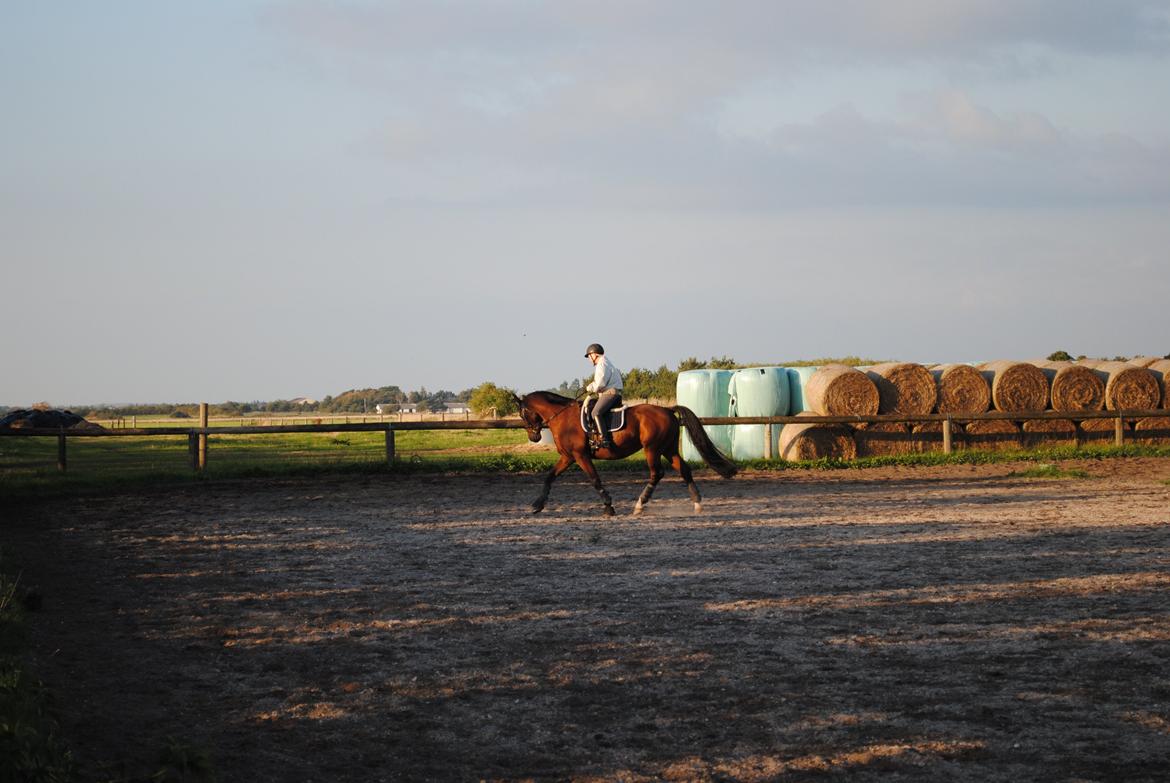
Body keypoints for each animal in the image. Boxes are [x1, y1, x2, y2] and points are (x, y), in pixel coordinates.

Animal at [510, 388, 730, 514]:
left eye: (522, 413)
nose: (534, 437)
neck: (561, 416)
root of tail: (667, 410)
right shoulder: (568, 456)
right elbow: (549, 477)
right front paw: (537, 505)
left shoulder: (580, 456)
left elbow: (594, 479)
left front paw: (608, 506)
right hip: (668, 449)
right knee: (684, 470)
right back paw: (697, 504)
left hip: (652, 449)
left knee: (657, 473)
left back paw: (640, 505)